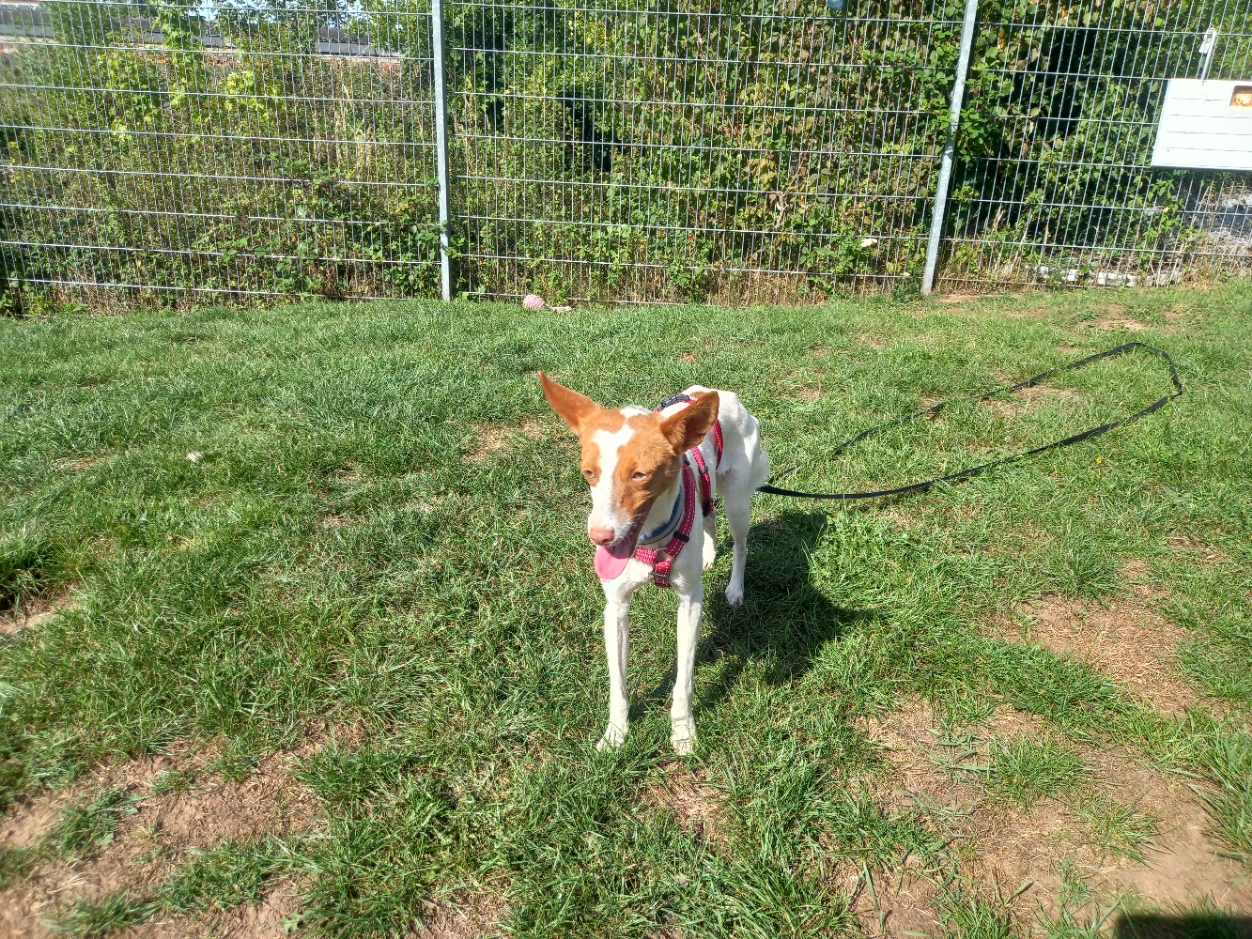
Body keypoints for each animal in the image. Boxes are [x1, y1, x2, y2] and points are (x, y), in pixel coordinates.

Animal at [539, 373, 770, 754]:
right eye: (589, 473)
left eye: (640, 475)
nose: (599, 536)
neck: (649, 540)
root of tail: (722, 394)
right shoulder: (615, 607)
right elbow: (617, 686)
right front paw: (615, 735)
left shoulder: (690, 603)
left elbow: (684, 682)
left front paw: (683, 732)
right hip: (710, 495)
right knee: (709, 517)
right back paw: (708, 554)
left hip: (738, 499)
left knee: (740, 544)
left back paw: (735, 587)